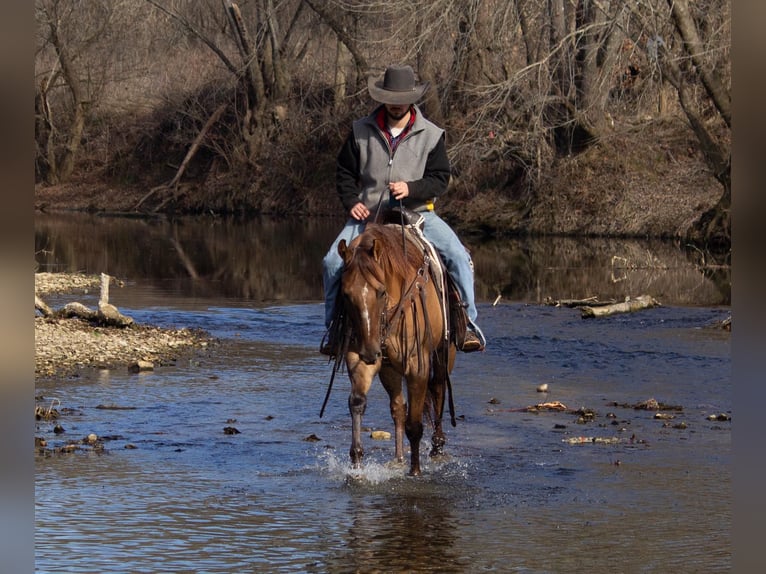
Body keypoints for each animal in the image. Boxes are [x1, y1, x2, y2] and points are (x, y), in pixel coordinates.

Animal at [336, 220, 456, 476]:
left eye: (381, 291)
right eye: (346, 294)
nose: (370, 351)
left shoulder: (417, 365)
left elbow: (415, 423)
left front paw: (415, 471)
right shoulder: (362, 359)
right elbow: (358, 402)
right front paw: (357, 462)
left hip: (444, 354)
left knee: (438, 389)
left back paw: (437, 447)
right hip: (389, 368)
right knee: (398, 407)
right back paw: (399, 458)